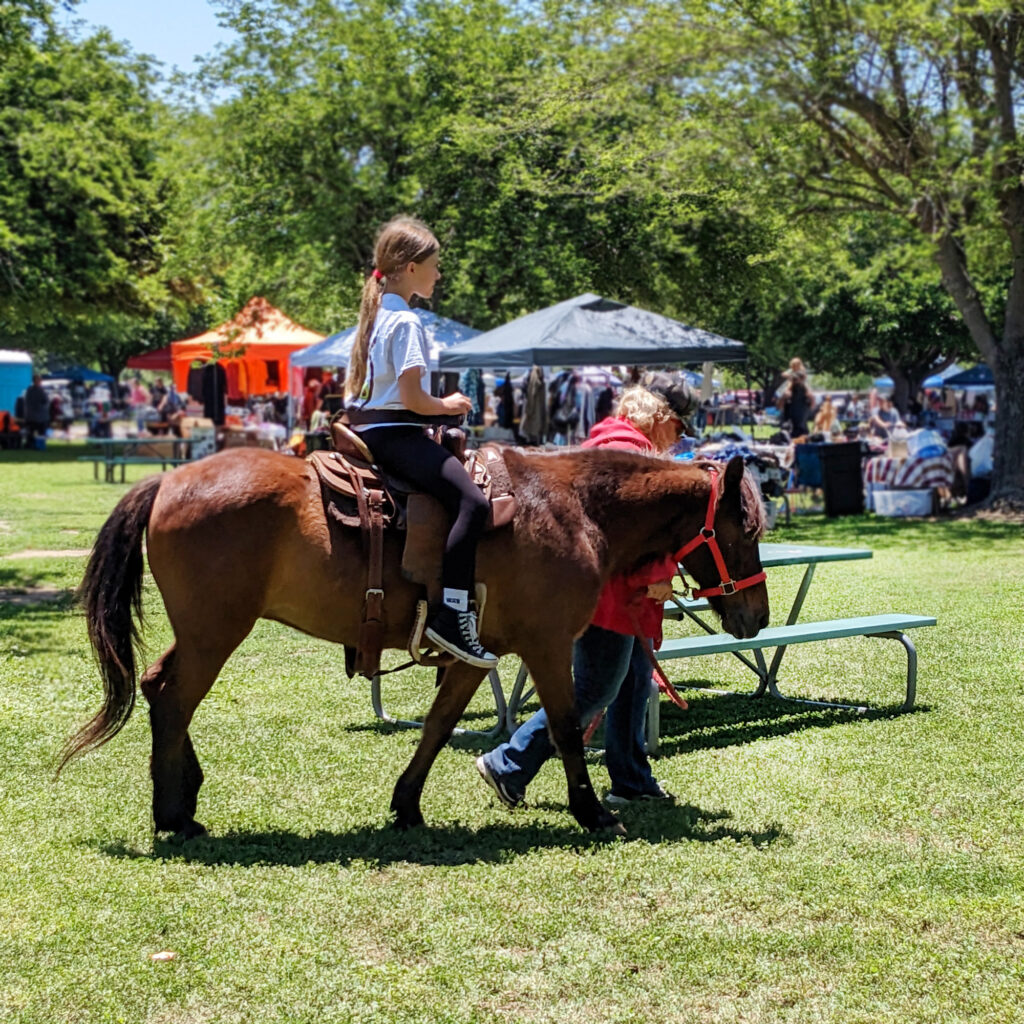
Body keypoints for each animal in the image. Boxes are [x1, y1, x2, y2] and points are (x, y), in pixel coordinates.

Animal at [59, 448, 770, 839]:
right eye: (746, 530)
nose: (756, 616)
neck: (572, 509)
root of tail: (168, 481)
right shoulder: (544, 646)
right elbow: (567, 727)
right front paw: (593, 813)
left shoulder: (474, 652)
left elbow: (437, 725)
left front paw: (407, 805)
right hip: (215, 633)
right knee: (173, 701)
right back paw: (172, 815)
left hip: (203, 633)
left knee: (159, 689)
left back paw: (185, 799)